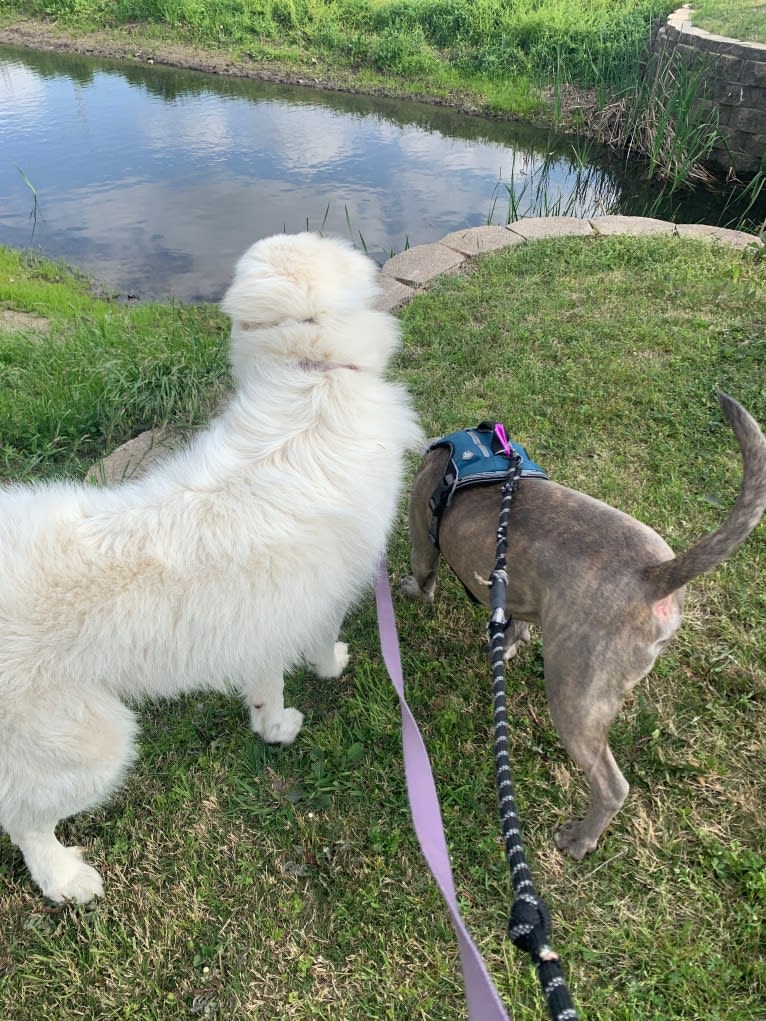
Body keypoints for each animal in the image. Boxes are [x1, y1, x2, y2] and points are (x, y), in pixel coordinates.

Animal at [0, 231, 420, 902]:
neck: (309, 377)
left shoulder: (269, 615)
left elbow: (265, 687)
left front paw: (273, 728)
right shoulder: (327, 594)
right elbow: (319, 647)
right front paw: (328, 670)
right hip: (90, 741)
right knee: (24, 821)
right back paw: (65, 879)